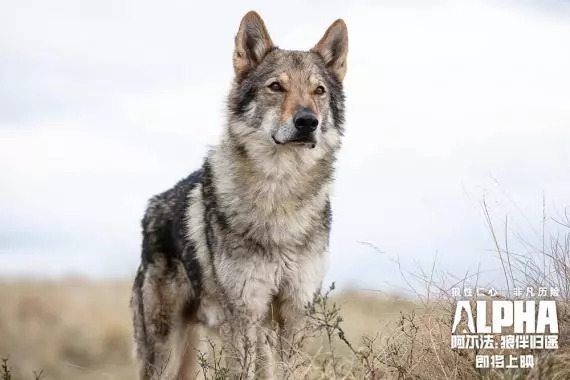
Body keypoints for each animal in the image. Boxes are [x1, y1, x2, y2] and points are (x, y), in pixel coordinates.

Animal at [130, 10, 346, 378]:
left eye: (318, 91)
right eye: (276, 87)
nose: (308, 122)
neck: (279, 199)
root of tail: (152, 205)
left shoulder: (293, 313)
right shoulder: (242, 314)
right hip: (166, 351)